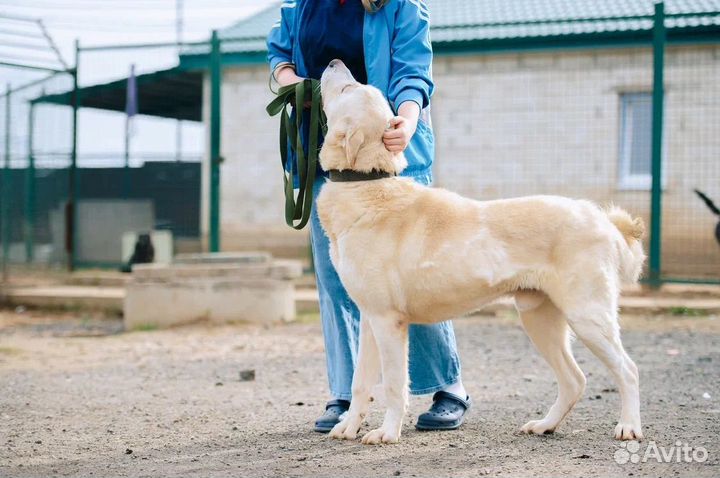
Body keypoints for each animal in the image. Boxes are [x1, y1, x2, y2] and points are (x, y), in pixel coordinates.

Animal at [318, 58, 644, 444]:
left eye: (348, 88)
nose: (334, 61)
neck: (364, 183)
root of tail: (600, 218)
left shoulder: (388, 321)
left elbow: (395, 385)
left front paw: (387, 432)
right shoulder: (370, 319)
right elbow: (360, 382)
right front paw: (348, 427)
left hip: (588, 316)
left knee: (628, 369)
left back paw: (629, 426)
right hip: (539, 318)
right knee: (575, 380)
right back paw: (545, 424)